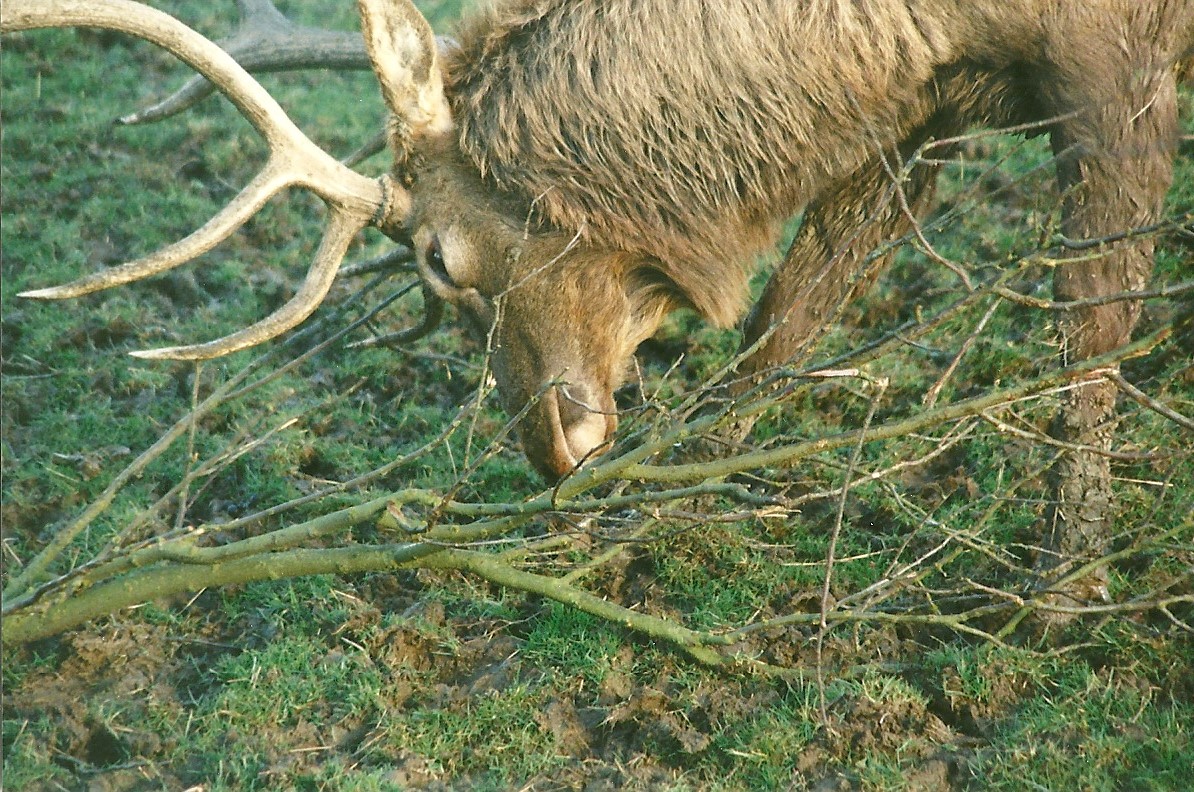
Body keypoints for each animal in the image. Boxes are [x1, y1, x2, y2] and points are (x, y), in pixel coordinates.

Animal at [5, 0, 1192, 604]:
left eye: (441, 259)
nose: (553, 450)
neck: (925, 18)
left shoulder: (1110, 55)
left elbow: (1093, 308)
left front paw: (1064, 578)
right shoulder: (922, 101)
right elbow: (800, 298)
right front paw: (677, 498)